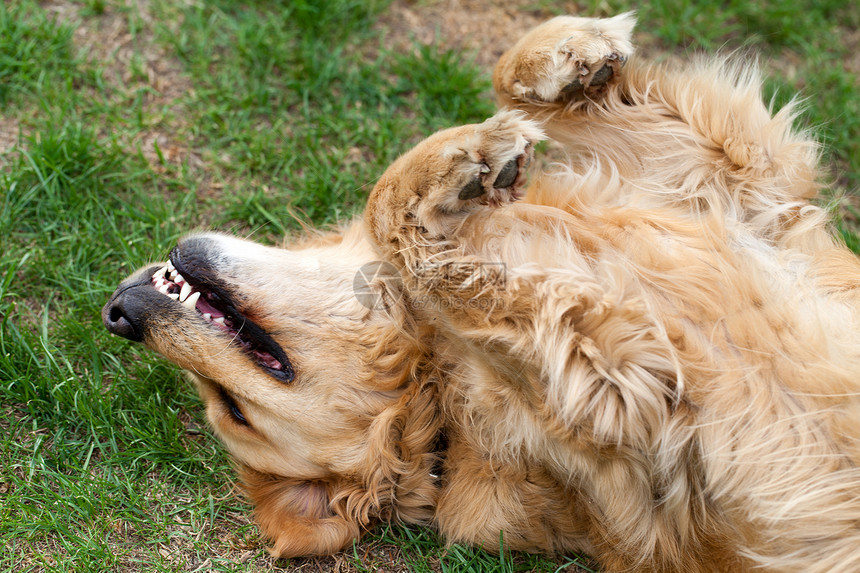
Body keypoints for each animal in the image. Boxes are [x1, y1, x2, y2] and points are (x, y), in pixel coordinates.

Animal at [104, 13, 860, 572]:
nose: (118, 315)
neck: (437, 399)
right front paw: (459, 167)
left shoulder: (751, 202)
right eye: (234, 411)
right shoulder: (633, 382)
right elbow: (400, 224)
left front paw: (571, 54)